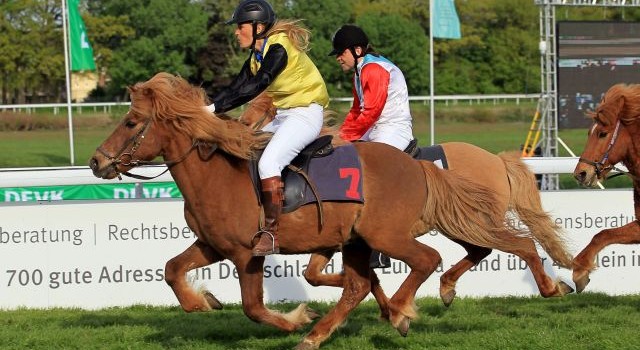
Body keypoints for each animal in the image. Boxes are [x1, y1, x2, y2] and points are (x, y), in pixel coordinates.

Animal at [89, 72, 536, 348]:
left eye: (131, 122)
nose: (96, 161)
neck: (217, 174)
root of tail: (418, 166)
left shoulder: (246, 254)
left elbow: (254, 308)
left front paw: (295, 319)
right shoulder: (212, 245)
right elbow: (171, 270)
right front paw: (204, 301)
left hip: (386, 234)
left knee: (428, 259)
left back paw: (397, 312)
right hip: (358, 240)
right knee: (358, 286)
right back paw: (327, 331)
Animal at [240, 93, 576, 312]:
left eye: (264, 106)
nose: (242, 124)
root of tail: (496, 160)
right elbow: (313, 274)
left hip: (474, 222)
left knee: (513, 245)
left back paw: (549, 286)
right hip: (459, 225)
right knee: (481, 251)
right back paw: (447, 287)